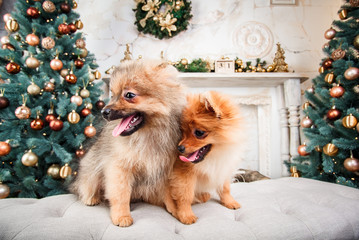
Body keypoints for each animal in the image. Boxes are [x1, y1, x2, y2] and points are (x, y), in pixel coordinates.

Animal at [71, 59, 187, 227]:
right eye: (113, 95)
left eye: (129, 95)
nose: (104, 112)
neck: (146, 134)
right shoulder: (120, 167)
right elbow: (121, 194)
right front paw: (122, 216)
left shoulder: (164, 168)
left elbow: (169, 193)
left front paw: (175, 210)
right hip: (91, 167)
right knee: (85, 184)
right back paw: (91, 198)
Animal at [165, 91, 245, 224]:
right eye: (182, 131)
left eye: (199, 133)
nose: (179, 148)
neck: (213, 156)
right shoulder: (183, 174)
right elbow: (185, 195)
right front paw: (186, 215)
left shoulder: (223, 167)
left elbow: (225, 188)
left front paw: (229, 202)